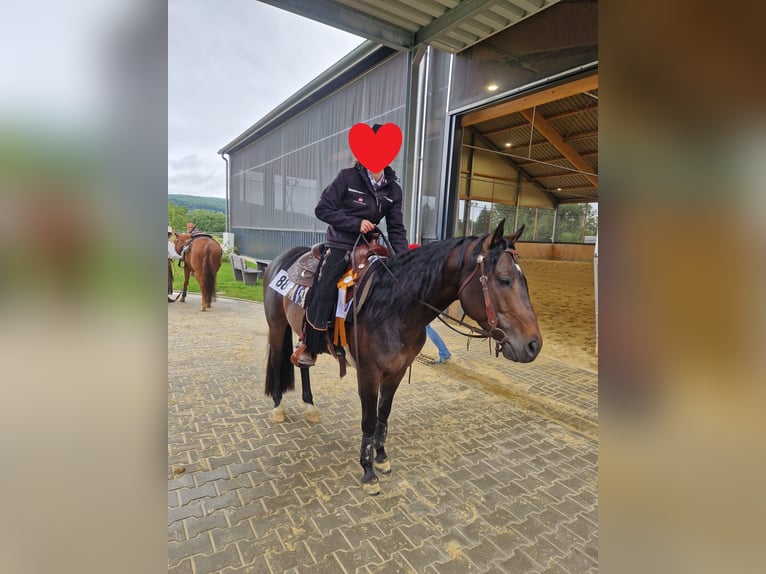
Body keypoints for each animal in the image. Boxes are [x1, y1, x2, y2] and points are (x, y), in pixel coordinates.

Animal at [262, 219, 542, 495]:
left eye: (524, 280)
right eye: (504, 280)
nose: (533, 345)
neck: (392, 307)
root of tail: (281, 259)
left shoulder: (396, 371)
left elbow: (383, 415)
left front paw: (381, 458)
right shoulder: (368, 374)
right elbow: (368, 421)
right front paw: (368, 472)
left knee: (302, 364)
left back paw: (310, 406)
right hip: (277, 326)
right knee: (276, 360)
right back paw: (278, 408)